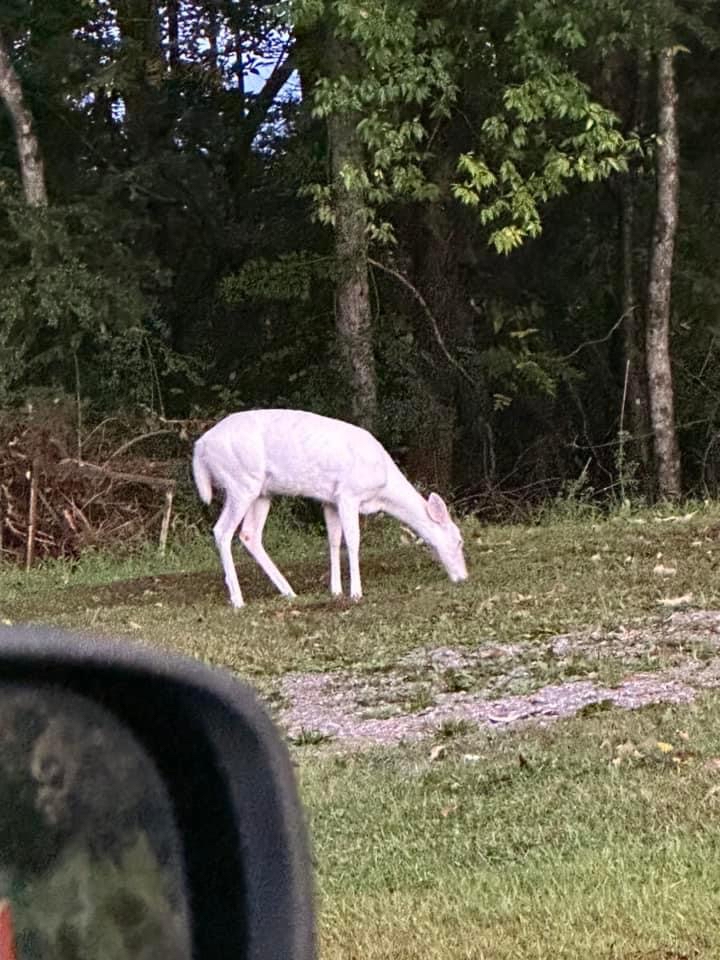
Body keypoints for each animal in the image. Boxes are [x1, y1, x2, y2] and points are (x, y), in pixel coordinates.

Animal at [194, 406, 470, 608]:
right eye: (458, 540)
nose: (464, 578)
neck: (383, 489)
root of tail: (199, 448)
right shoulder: (348, 493)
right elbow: (353, 541)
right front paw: (356, 593)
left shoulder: (330, 500)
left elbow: (334, 540)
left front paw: (336, 591)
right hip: (240, 481)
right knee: (222, 531)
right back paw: (238, 600)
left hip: (262, 492)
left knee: (249, 534)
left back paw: (289, 591)